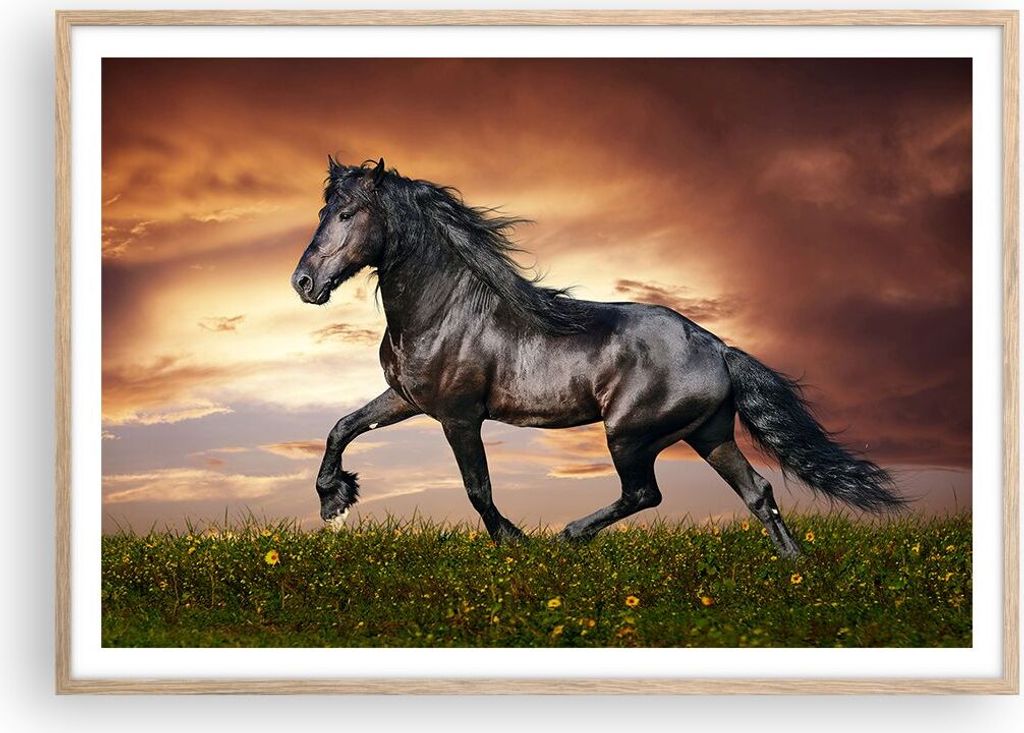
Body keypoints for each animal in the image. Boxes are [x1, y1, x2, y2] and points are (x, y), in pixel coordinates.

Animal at [291, 157, 903, 556]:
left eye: (348, 214)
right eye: (323, 211)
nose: (303, 283)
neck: (444, 310)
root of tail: (718, 348)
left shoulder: (459, 416)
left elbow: (477, 488)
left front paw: (515, 542)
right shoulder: (407, 398)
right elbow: (342, 427)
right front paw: (334, 501)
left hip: (630, 433)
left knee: (645, 493)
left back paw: (570, 534)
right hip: (709, 434)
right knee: (758, 492)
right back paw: (794, 570)